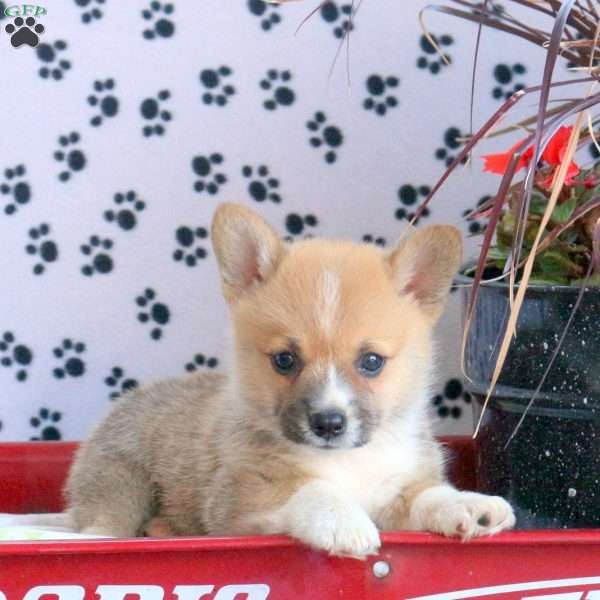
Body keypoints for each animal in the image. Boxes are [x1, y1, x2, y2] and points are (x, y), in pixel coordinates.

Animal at [65, 203, 516, 556]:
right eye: (285, 360)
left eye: (371, 361)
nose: (329, 424)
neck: (346, 461)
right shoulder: (241, 496)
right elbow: (310, 490)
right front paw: (343, 521)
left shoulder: (396, 491)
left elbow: (429, 494)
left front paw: (470, 507)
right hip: (122, 481)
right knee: (102, 522)